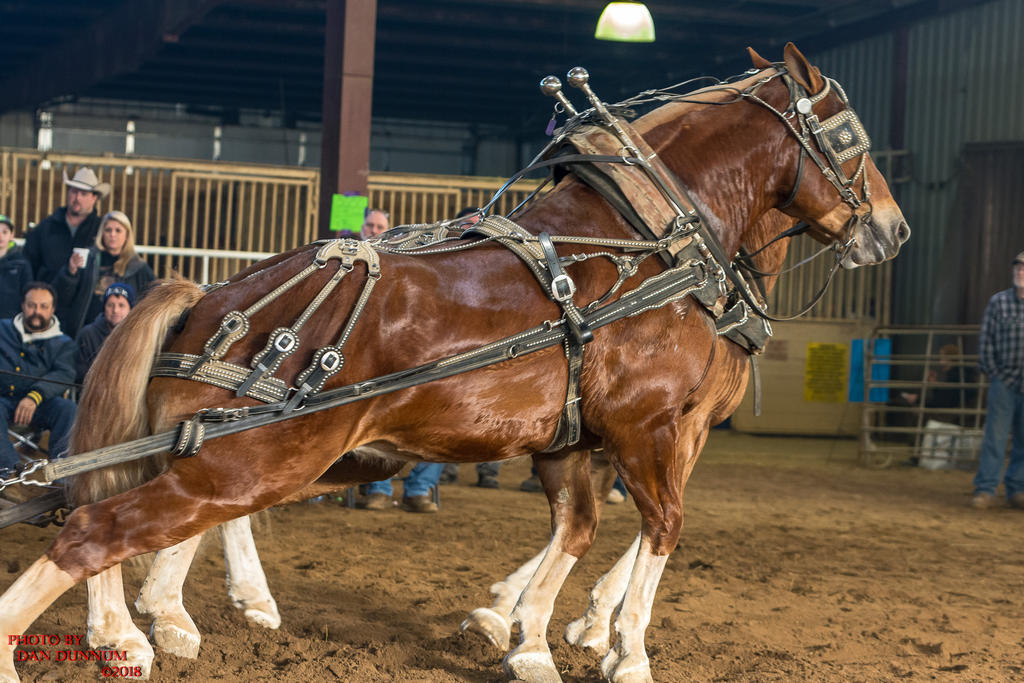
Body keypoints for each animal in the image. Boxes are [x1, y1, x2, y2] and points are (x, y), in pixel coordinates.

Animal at [0, 44, 909, 683]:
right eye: (849, 138)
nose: (893, 229)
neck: (653, 245)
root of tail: (210, 296)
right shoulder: (653, 425)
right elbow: (662, 525)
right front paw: (621, 647)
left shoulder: (575, 437)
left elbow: (579, 526)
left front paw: (528, 633)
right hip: (257, 458)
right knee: (97, 526)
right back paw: (130, 623)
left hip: (245, 454)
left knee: (112, 510)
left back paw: (137, 627)